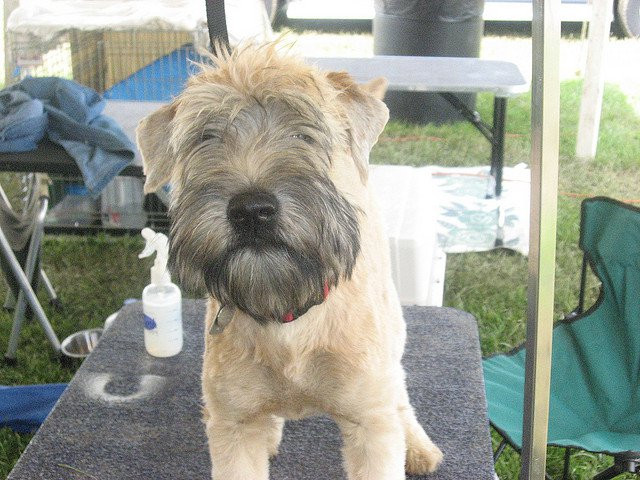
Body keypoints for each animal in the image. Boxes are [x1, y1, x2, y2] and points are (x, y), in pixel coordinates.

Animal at [136, 45, 440, 480]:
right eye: (205, 137)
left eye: (304, 134)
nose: (251, 211)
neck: (286, 311)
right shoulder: (232, 425)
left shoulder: (369, 425)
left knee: (399, 389)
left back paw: (417, 445)